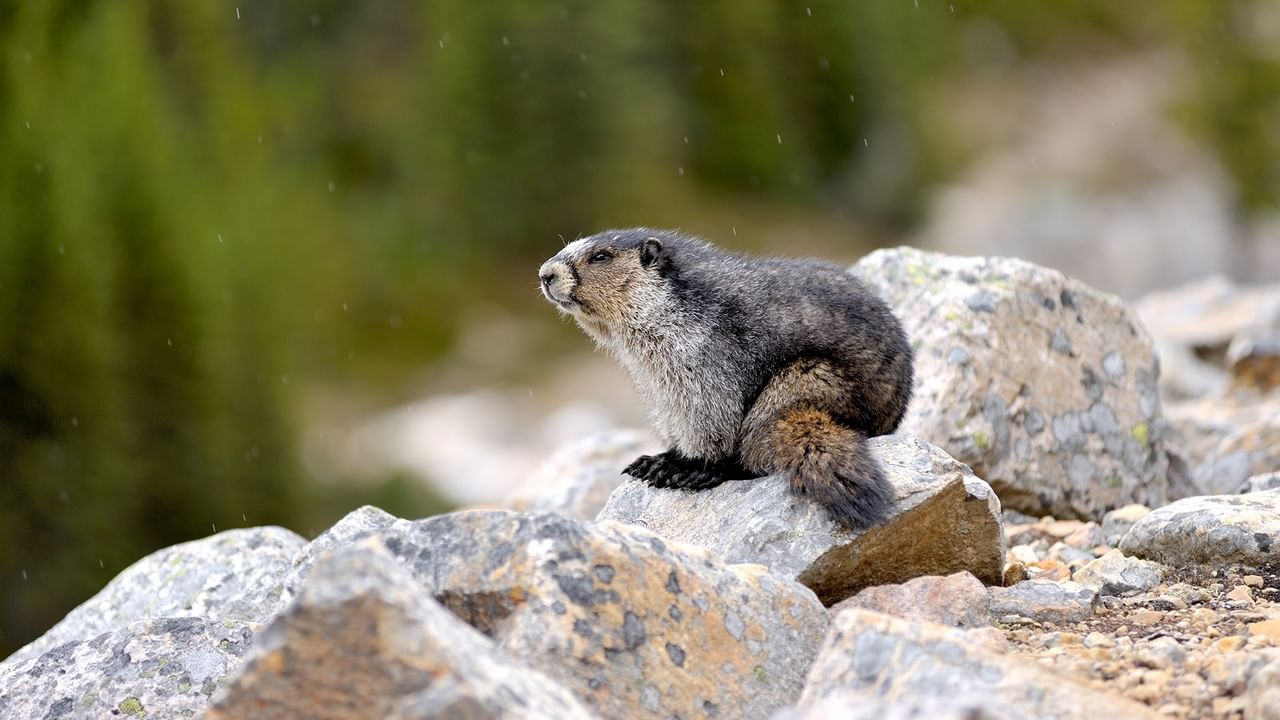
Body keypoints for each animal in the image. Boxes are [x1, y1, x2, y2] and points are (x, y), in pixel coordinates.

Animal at [538, 228, 914, 529]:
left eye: (601, 256)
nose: (544, 273)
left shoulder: (700, 346)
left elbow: (708, 406)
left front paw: (684, 465)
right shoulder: (656, 375)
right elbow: (671, 409)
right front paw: (659, 456)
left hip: (806, 379)